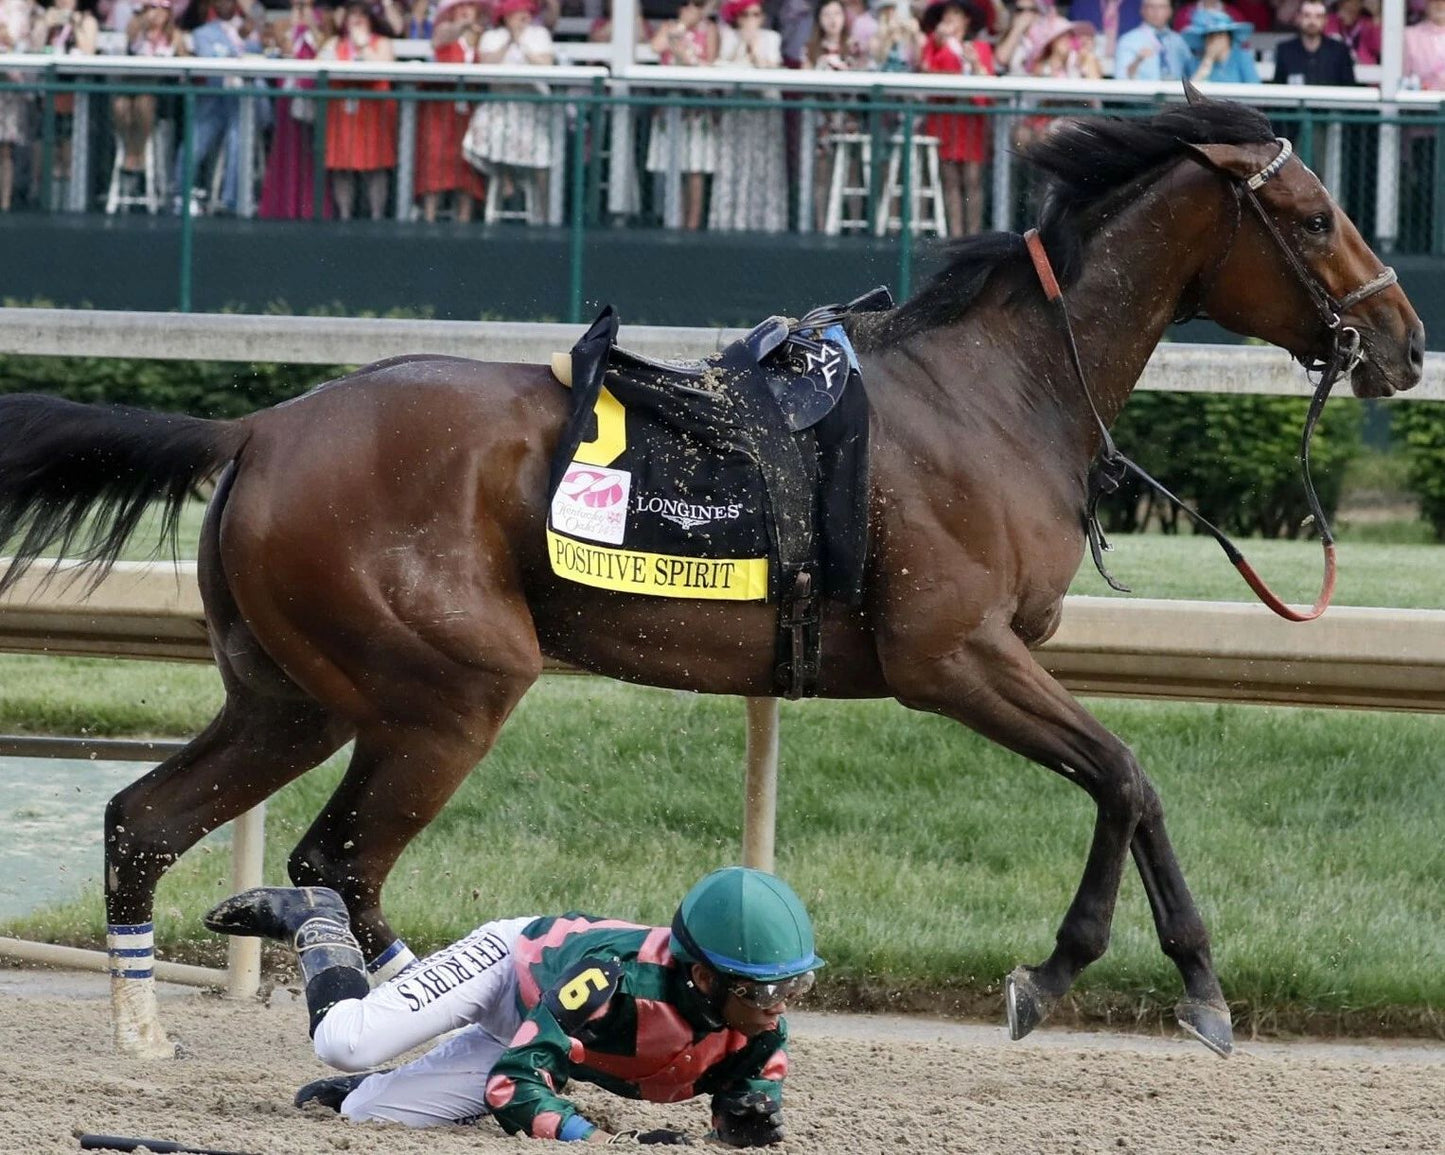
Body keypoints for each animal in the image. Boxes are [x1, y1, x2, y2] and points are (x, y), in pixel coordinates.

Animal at [0, 89, 1423, 1061]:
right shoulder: (951, 655)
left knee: (146, 822)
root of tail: (254, 428)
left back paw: (149, 1033)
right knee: (336, 860)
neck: (997, 394)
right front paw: (1106, 976)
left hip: (292, 695)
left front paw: (1173, 982)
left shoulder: (984, 657)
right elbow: (1123, 773)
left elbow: (1127, 782)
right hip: (447, 688)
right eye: (1312, 216)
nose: (1403, 341)